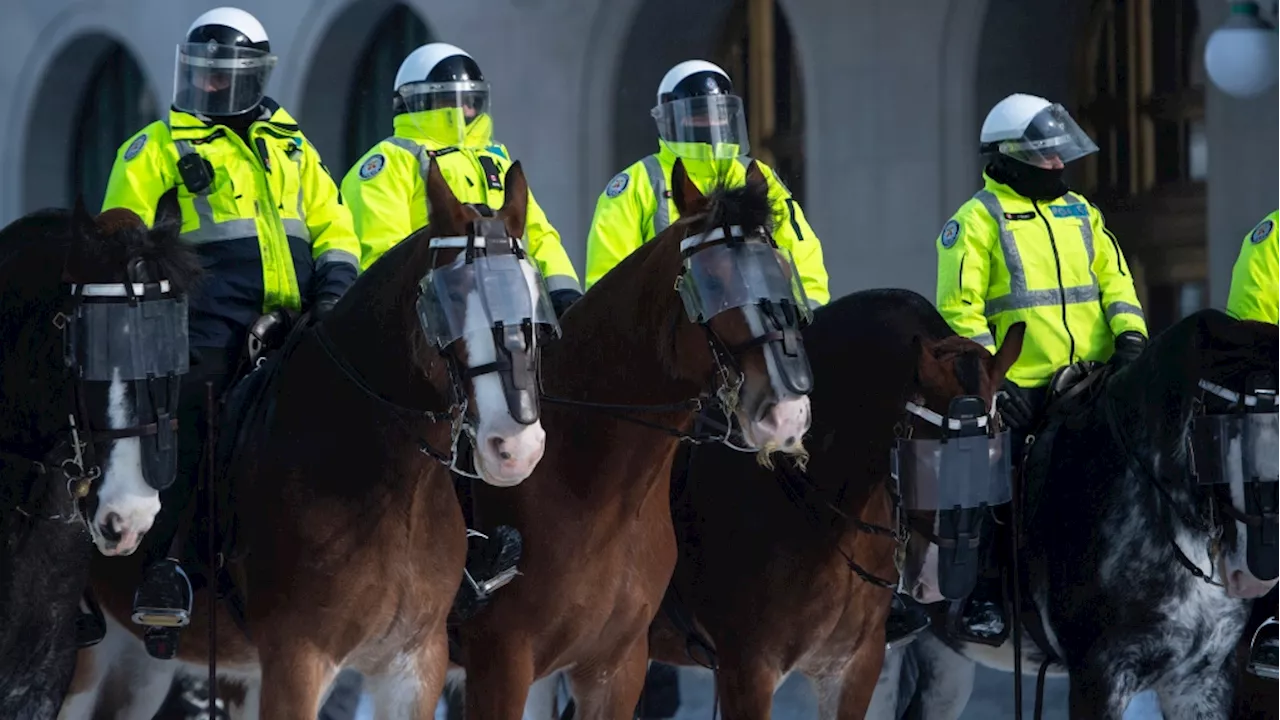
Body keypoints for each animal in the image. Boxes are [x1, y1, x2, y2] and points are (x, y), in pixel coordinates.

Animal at [60, 158, 558, 717]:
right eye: (451, 301)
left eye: (533, 301)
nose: (515, 447)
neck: (388, 492)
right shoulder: (298, 660)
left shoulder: (414, 667)